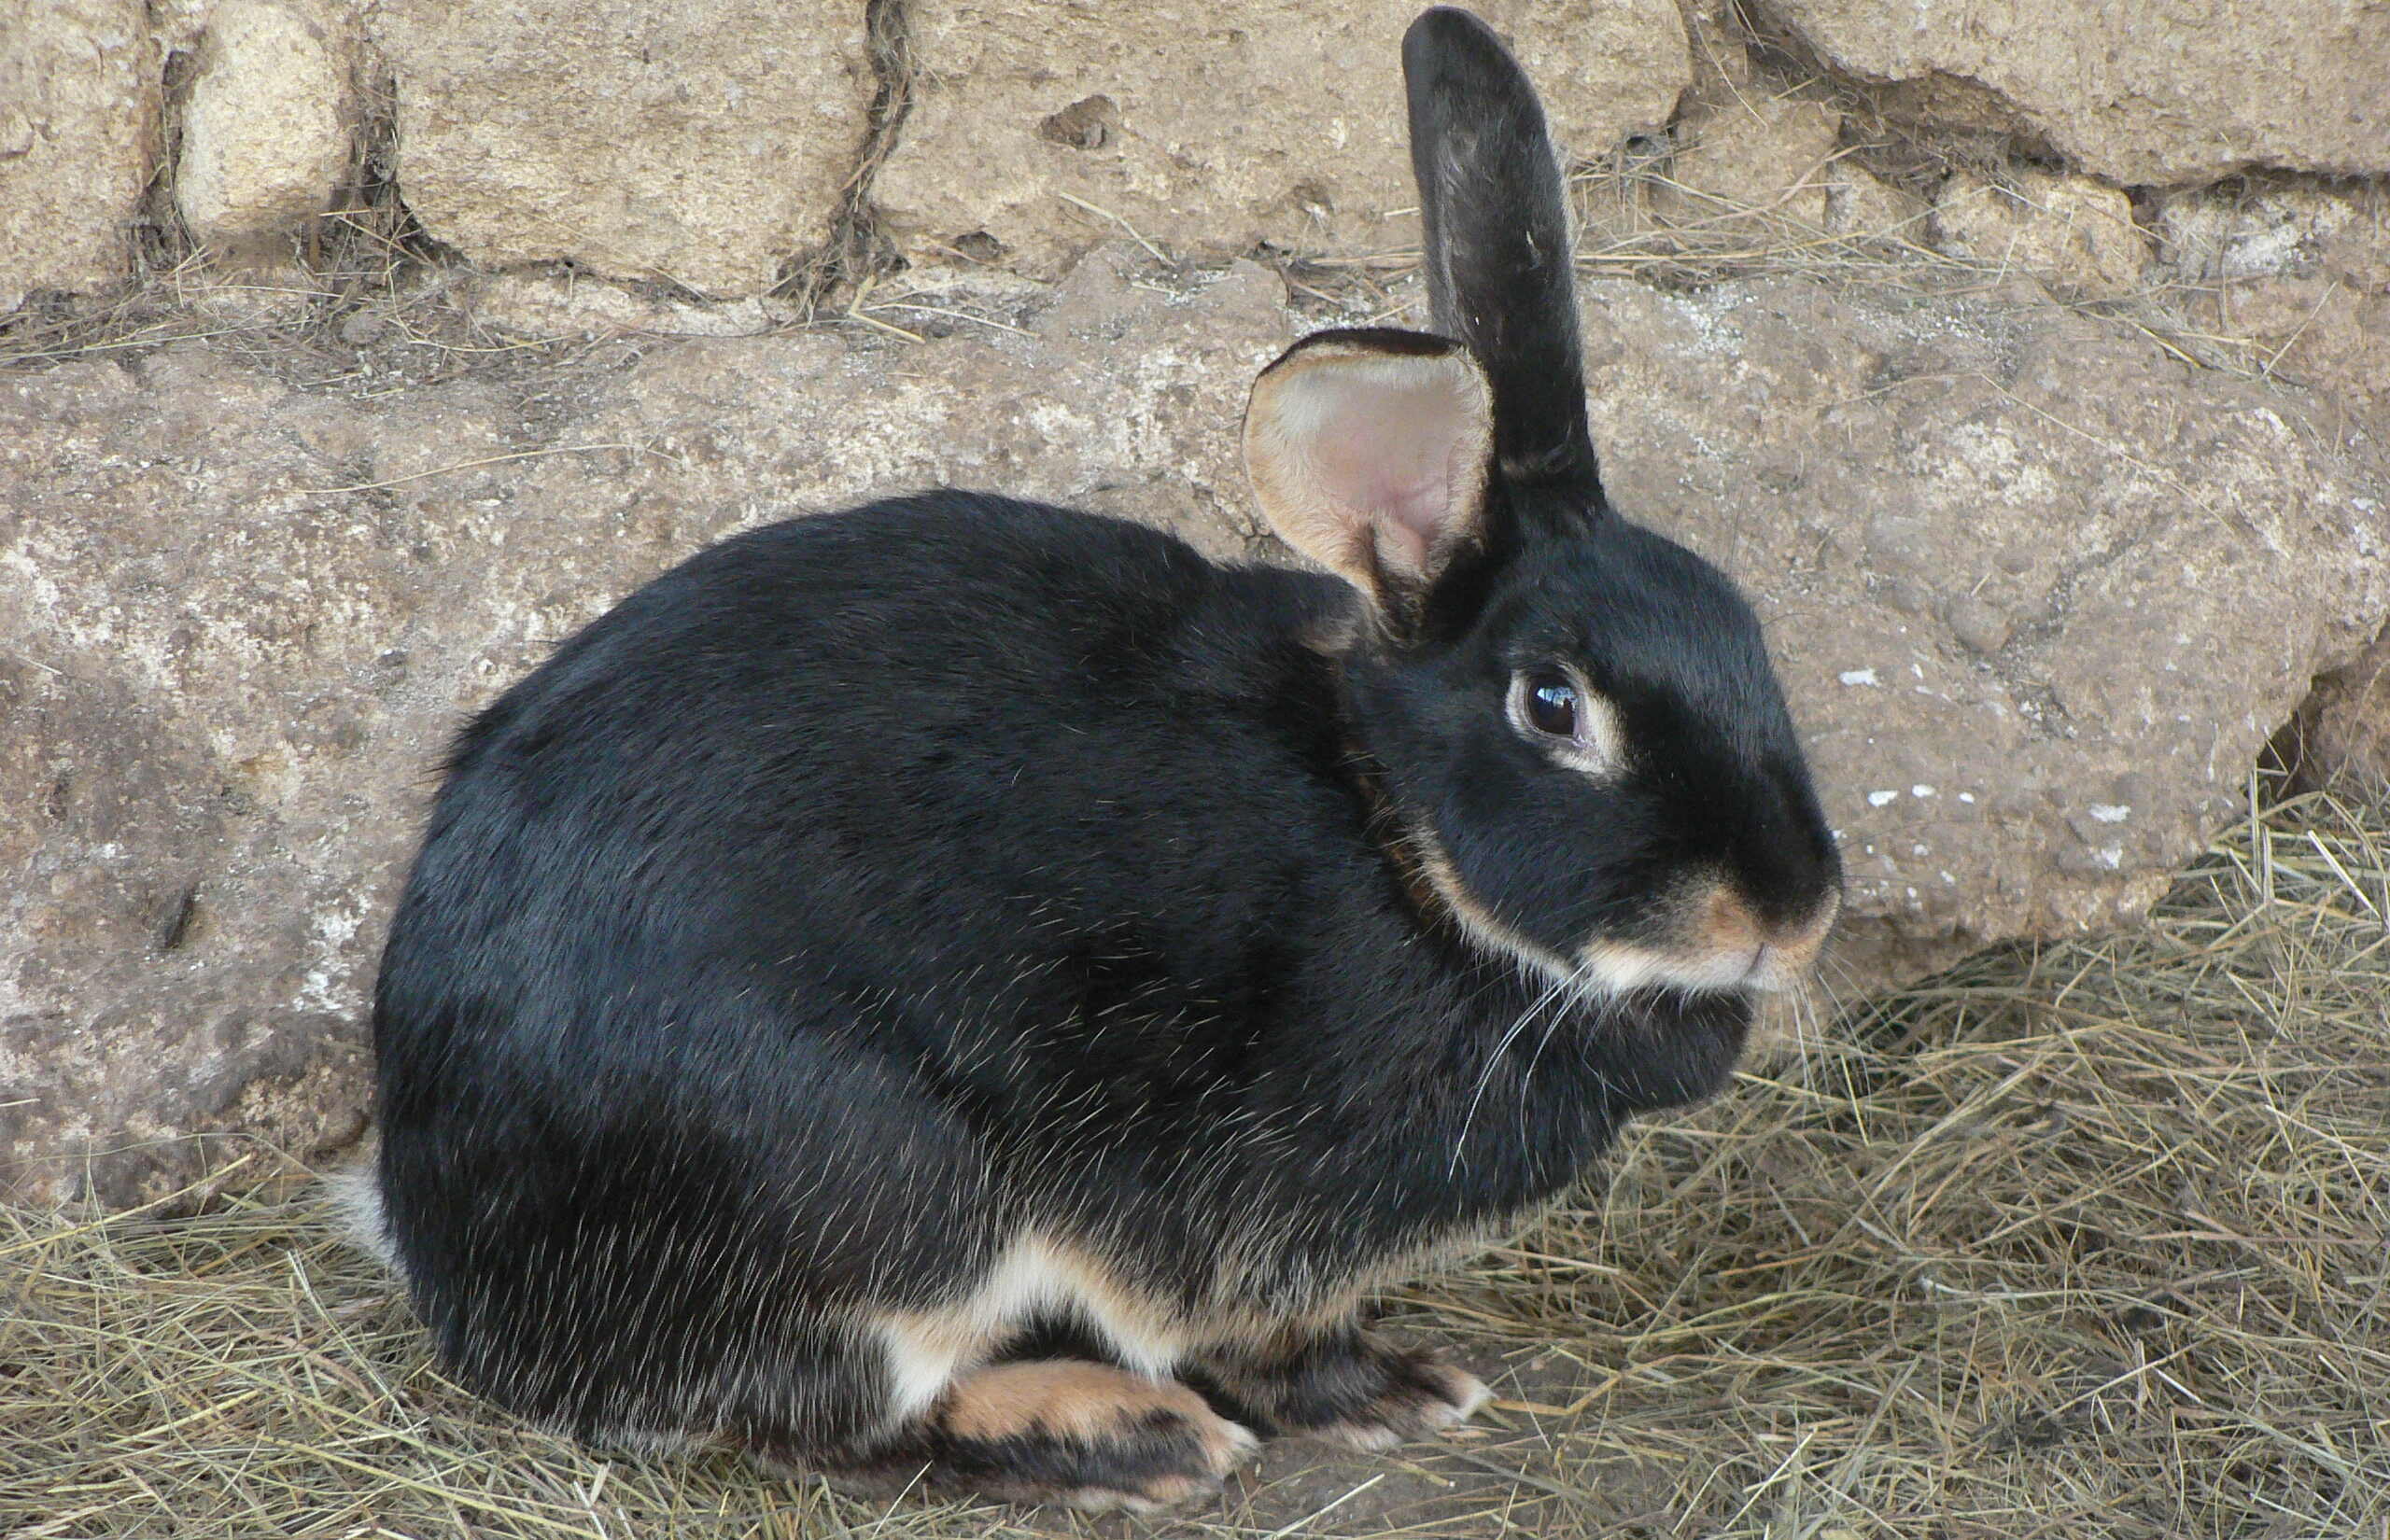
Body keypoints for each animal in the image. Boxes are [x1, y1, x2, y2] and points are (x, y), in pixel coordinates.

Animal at [356, 5, 1841, 1513]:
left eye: (1742, 627)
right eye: (1552, 706)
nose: (1790, 915)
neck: (1394, 836)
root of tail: (449, 1260)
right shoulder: (1228, 1206)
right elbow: (1246, 1328)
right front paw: (1379, 1391)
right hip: (877, 1187)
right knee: (842, 1407)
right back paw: (1132, 1435)